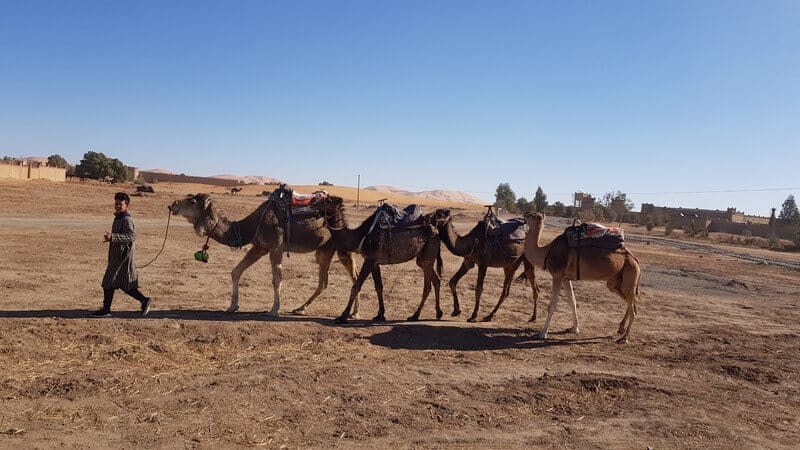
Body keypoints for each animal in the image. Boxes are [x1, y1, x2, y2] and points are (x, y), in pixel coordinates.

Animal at [169, 190, 357, 315]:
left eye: (192, 201)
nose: (172, 205)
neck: (250, 226)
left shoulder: (275, 247)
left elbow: (276, 279)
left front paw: (274, 309)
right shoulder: (259, 247)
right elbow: (236, 271)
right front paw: (232, 306)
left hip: (339, 246)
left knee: (354, 275)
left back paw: (354, 313)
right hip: (324, 250)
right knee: (324, 281)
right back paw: (301, 308)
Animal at [523, 212, 641, 342]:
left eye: (531, 216)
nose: (525, 214)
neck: (547, 251)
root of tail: (634, 259)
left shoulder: (558, 276)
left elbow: (552, 305)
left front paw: (543, 333)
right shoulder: (566, 278)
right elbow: (572, 302)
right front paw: (574, 328)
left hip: (630, 275)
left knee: (633, 309)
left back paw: (624, 337)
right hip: (615, 282)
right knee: (631, 302)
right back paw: (620, 329)